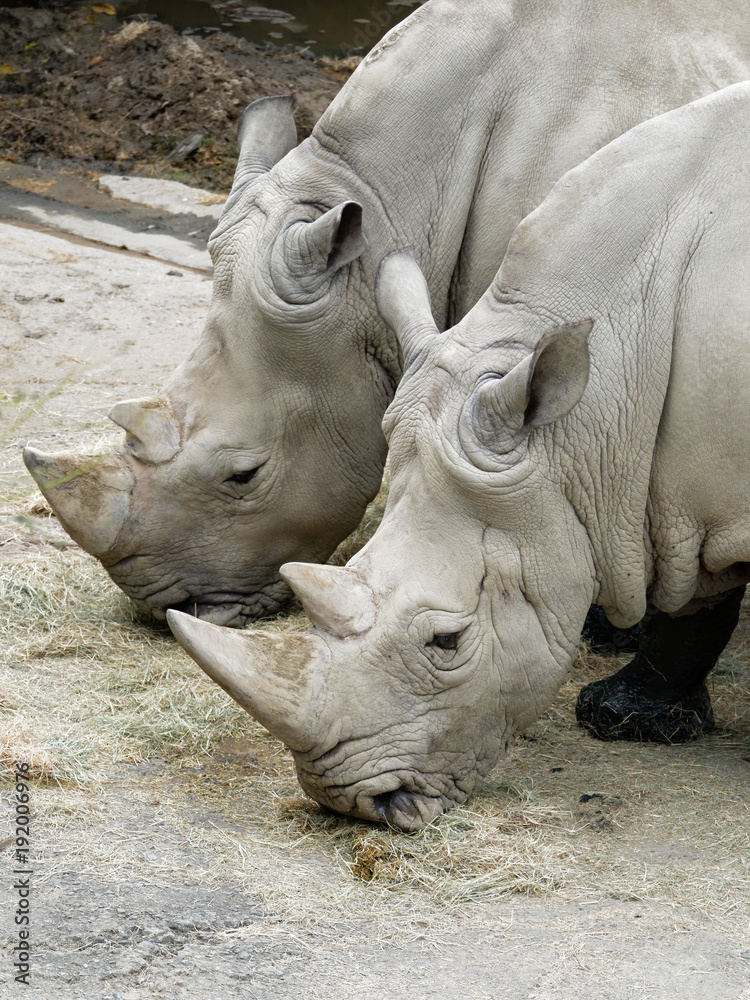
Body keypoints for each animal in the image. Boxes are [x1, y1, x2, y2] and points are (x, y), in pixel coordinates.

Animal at [169, 81, 750, 830]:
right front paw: (631, 720)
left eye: (446, 642)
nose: (352, 803)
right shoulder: (677, 484)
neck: (589, 419)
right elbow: (700, 592)